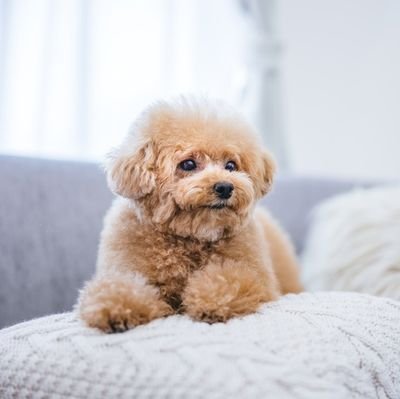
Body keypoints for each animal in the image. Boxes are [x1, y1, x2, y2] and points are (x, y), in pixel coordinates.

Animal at [76, 98, 300, 332]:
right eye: (188, 164)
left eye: (231, 165)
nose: (225, 187)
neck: (189, 239)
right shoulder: (126, 267)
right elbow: (121, 285)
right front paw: (117, 308)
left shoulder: (258, 279)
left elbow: (232, 278)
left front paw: (214, 301)